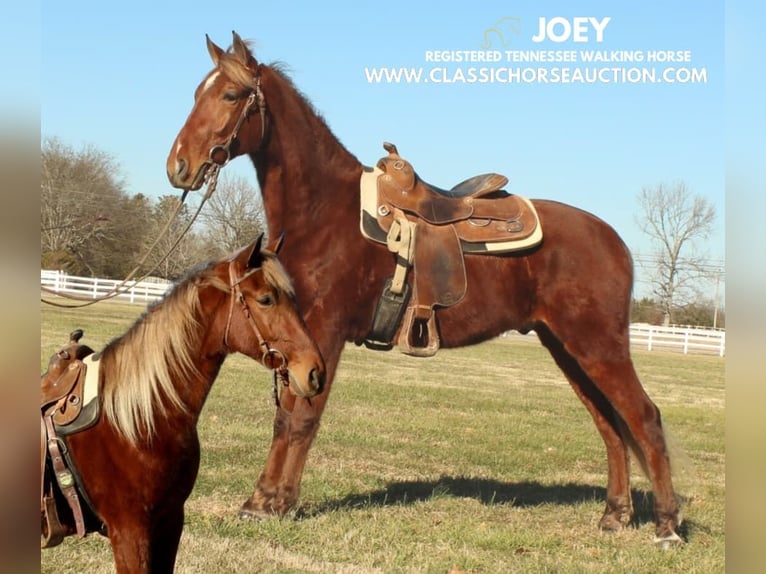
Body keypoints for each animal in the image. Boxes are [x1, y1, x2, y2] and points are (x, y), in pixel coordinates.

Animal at [165, 32, 688, 548]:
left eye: (231, 94)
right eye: (195, 93)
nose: (180, 167)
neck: (322, 212)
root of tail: (614, 241)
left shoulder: (324, 332)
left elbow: (299, 418)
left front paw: (271, 503)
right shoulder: (299, 337)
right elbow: (289, 415)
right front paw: (267, 500)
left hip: (598, 345)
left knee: (644, 417)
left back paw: (666, 527)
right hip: (566, 347)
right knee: (610, 425)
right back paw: (614, 516)